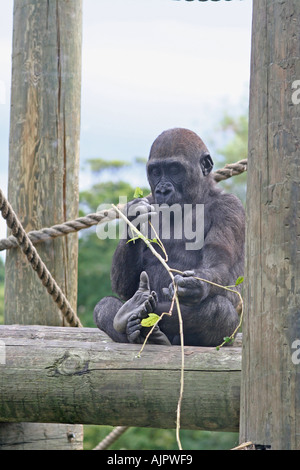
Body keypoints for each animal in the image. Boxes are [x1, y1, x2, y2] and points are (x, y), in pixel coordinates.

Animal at [94, 127, 246, 346]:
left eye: (174, 169)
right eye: (156, 172)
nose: (163, 190)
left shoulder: (230, 207)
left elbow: (219, 266)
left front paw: (193, 285)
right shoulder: (150, 200)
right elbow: (125, 285)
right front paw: (135, 215)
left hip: (226, 338)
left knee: (218, 312)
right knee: (104, 306)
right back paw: (132, 320)